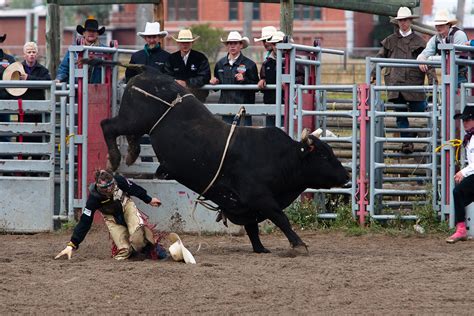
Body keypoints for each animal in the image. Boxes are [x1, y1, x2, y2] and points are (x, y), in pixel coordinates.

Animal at [103, 69, 348, 254]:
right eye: (324, 155)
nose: (346, 176)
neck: (278, 157)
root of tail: (144, 75)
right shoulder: (260, 197)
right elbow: (281, 218)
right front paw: (299, 244)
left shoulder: (250, 206)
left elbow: (252, 228)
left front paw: (260, 248)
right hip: (132, 120)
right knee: (108, 126)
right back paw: (115, 158)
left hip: (136, 124)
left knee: (128, 135)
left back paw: (131, 153)